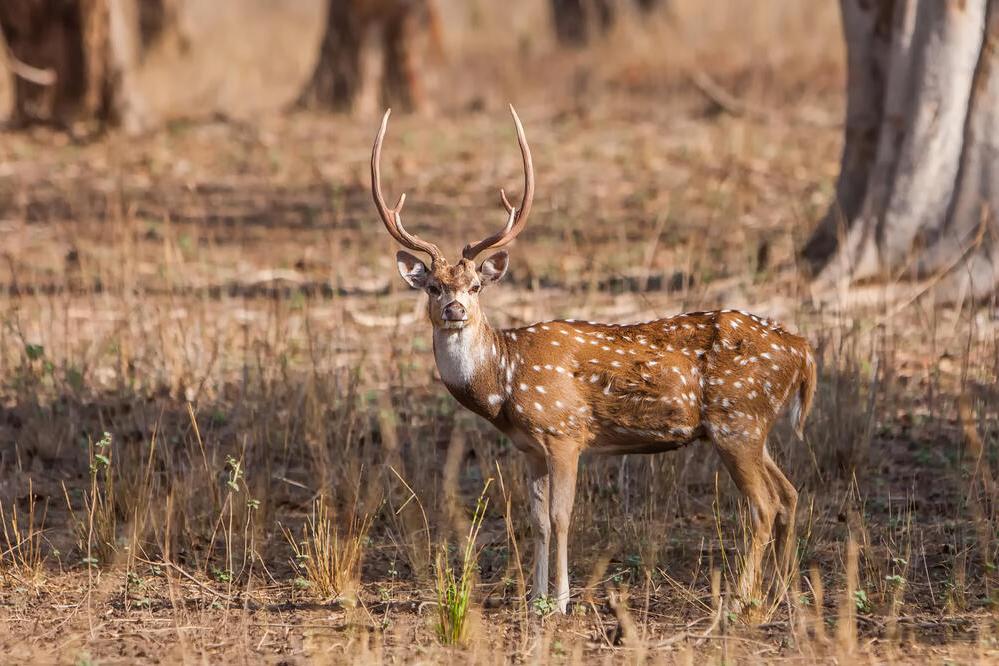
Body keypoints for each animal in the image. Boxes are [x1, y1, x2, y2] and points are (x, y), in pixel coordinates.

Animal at [371, 106, 817, 613]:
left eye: (476, 286)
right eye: (432, 286)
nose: (454, 309)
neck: (504, 382)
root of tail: (802, 351)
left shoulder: (564, 431)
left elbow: (562, 516)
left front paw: (562, 600)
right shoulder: (529, 447)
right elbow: (537, 520)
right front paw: (535, 599)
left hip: (737, 421)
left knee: (763, 505)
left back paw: (743, 598)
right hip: (753, 425)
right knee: (789, 495)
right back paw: (783, 591)